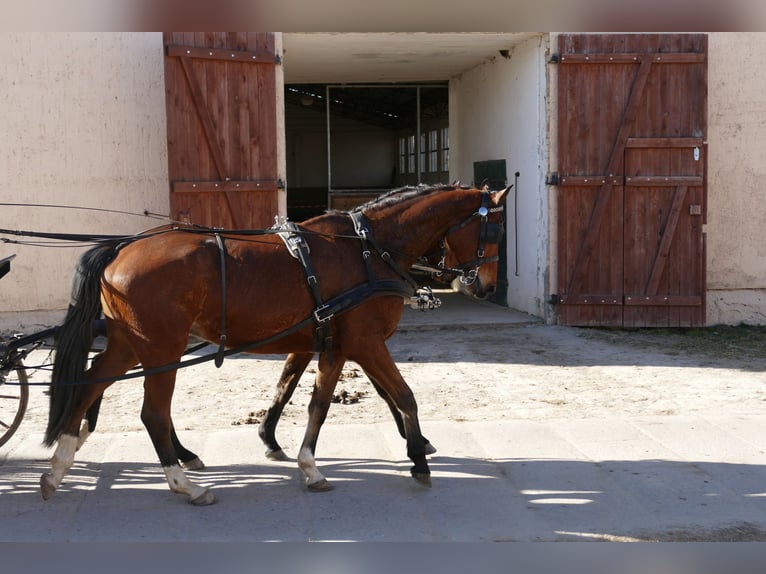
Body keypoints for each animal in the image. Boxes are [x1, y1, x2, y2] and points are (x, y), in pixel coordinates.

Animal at [41, 184, 509, 505]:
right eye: (493, 230)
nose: (485, 286)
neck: (367, 250)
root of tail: (121, 247)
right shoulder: (364, 342)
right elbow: (400, 395)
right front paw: (417, 460)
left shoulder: (334, 345)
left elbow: (311, 400)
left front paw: (302, 459)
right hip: (161, 348)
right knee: (154, 414)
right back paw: (184, 484)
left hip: (129, 345)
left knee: (89, 385)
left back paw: (59, 465)